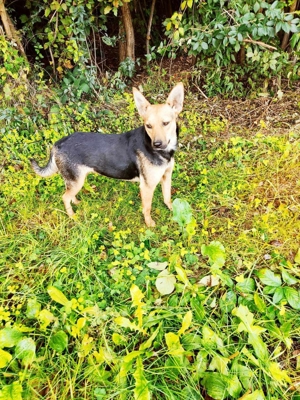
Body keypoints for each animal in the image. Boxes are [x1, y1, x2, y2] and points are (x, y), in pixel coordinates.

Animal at [31, 83, 184, 227]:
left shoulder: (166, 177)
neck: (163, 152)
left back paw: (76, 202)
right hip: (76, 181)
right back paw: (72, 216)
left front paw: (173, 210)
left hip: (74, 179)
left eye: (166, 123)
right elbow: (147, 208)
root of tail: (58, 144)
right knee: (64, 197)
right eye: (148, 126)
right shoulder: (147, 186)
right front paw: (149, 223)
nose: (156, 144)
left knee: (68, 194)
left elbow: (167, 197)